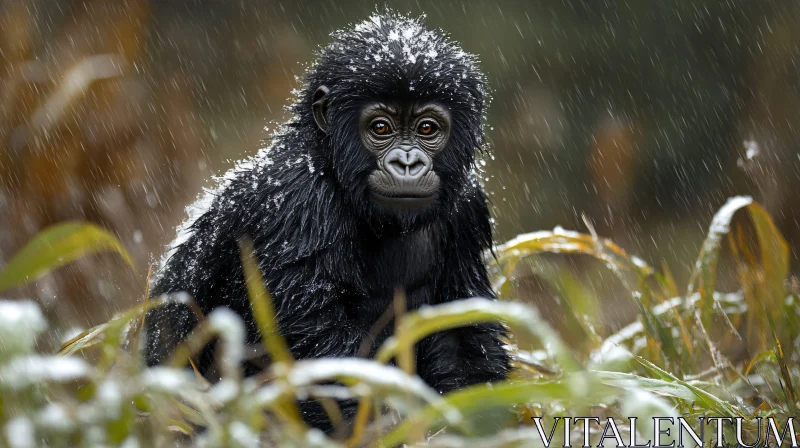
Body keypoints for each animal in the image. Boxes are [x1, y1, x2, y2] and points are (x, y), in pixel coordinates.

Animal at [145, 11, 510, 430]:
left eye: (427, 129)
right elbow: (320, 352)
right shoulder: (298, 201)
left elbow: (461, 332)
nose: (407, 163)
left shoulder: (467, 207)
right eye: (381, 128)